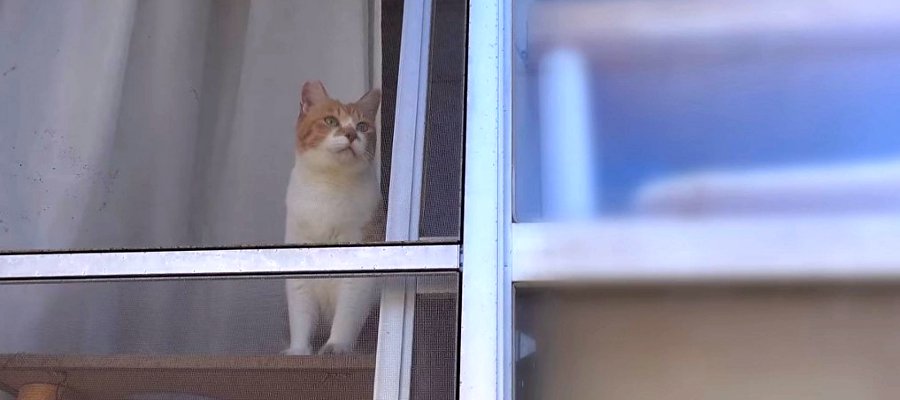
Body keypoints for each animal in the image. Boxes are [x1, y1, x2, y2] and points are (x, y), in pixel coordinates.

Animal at [284, 79, 384, 354]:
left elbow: (347, 315)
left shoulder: (359, 265)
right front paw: (298, 351)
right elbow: (301, 317)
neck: (329, 188)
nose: (351, 134)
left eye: (362, 126)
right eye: (330, 121)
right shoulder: (298, 265)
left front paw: (336, 346)